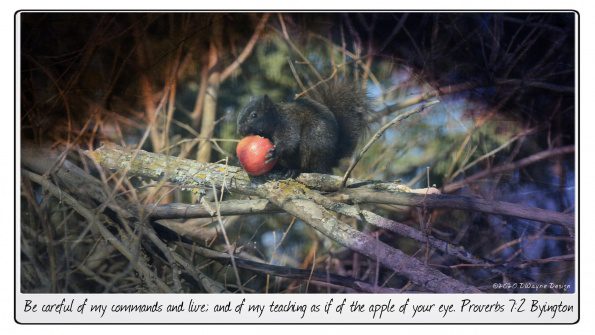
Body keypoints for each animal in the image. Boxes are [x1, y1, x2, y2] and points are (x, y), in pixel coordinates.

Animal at [236, 82, 368, 176]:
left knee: (311, 167)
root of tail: (330, 161)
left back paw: (295, 170)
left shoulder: (288, 123)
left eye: (254, 115)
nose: (240, 130)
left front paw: (275, 152)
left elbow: (289, 141)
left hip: (313, 142)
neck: (276, 118)